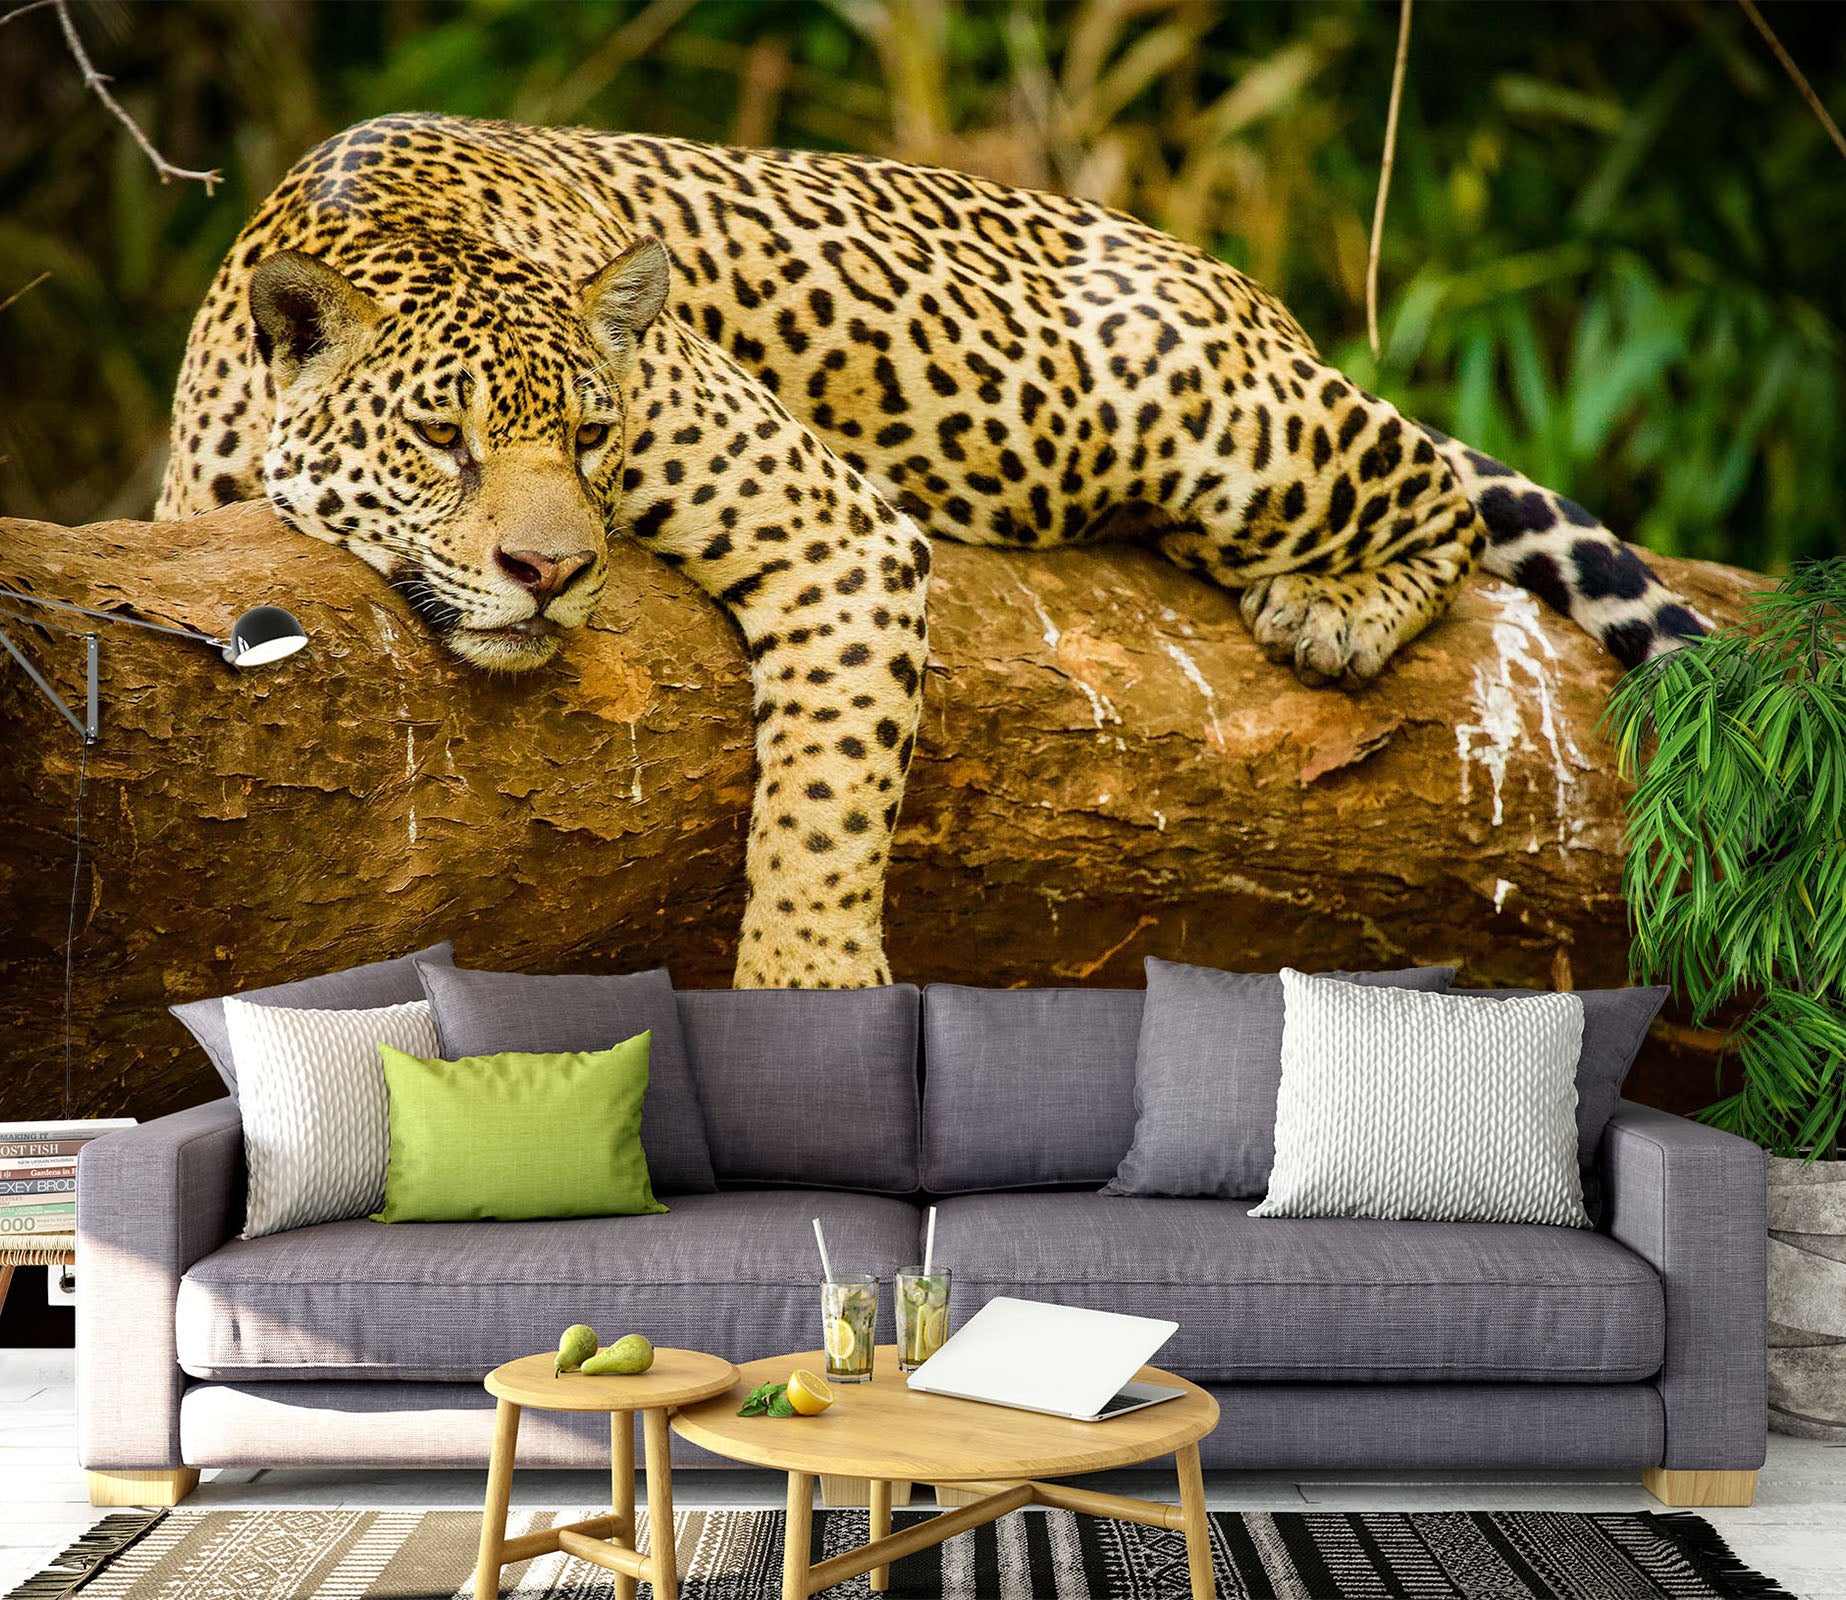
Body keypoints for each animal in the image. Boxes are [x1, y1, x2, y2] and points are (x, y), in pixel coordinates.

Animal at [159, 113, 1707, 988]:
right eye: (441, 436)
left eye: (594, 438)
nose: (551, 572)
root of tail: (1245, 287)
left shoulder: (832, 529)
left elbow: (822, 811)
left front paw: (808, 988)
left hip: (1195, 411)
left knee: (1430, 482)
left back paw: (1335, 611)